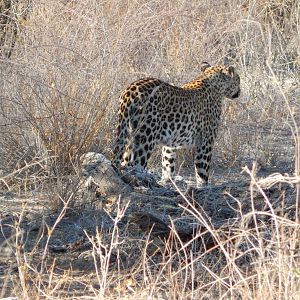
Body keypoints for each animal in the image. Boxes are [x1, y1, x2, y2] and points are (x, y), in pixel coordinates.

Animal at [112, 62, 241, 185]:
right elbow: (202, 172)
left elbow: (168, 164)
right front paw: (203, 187)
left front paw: (167, 180)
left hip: (129, 135)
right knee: (134, 164)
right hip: (145, 139)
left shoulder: (170, 144)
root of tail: (129, 91)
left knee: (124, 161)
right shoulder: (206, 142)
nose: (240, 91)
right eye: (238, 79)